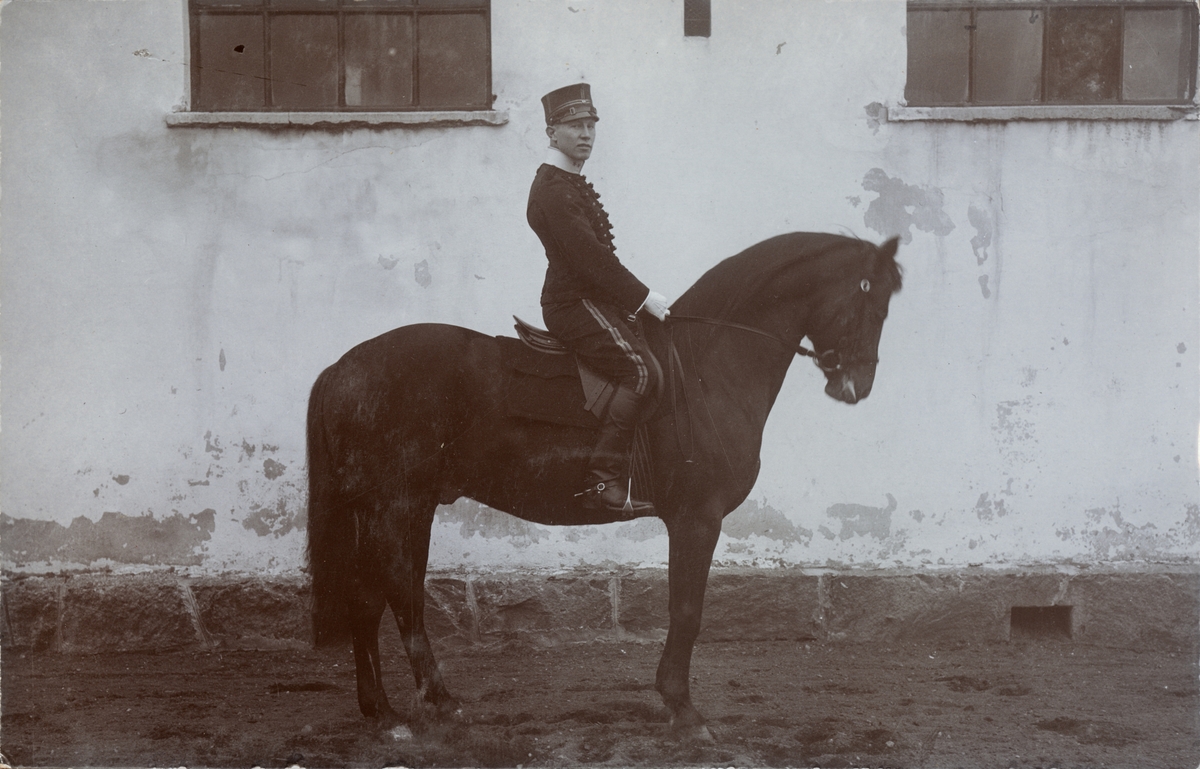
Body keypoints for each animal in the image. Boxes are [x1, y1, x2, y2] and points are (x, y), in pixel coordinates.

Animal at [306, 232, 902, 742]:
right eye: (872, 301)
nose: (857, 385)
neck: (705, 367)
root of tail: (343, 367)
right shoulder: (697, 518)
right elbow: (687, 610)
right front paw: (683, 709)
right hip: (396, 505)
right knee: (400, 597)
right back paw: (434, 702)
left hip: (395, 507)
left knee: (370, 599)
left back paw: (385, 712)